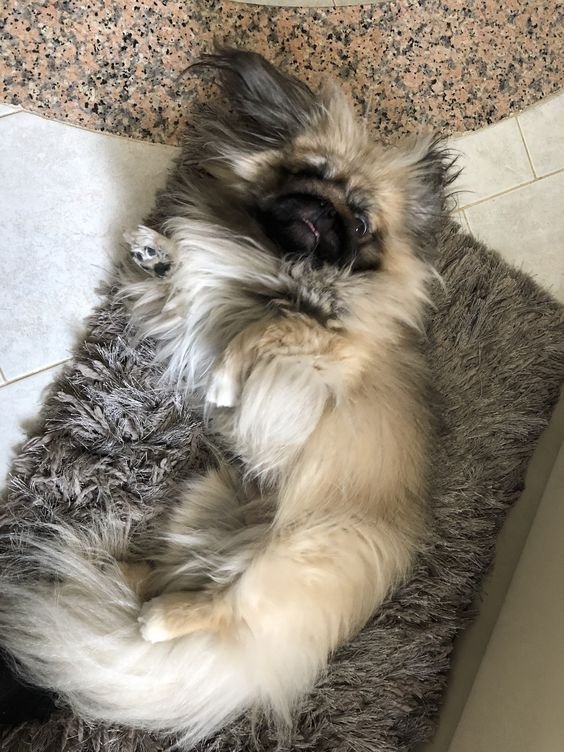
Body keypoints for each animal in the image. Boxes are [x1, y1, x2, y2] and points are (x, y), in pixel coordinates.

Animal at [0, 50, 456, 748]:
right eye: (307, 174)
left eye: (359, 218)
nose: (323, 209)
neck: (278, 264)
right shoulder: (202, 305)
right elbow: (188, 278)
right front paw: (156, 249)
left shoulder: (321, 349)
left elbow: (261, 330)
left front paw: (223, 382)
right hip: (204, 499)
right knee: (179, 575)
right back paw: (112, 574)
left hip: (290, 554)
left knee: (221, 607)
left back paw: (155, 619)